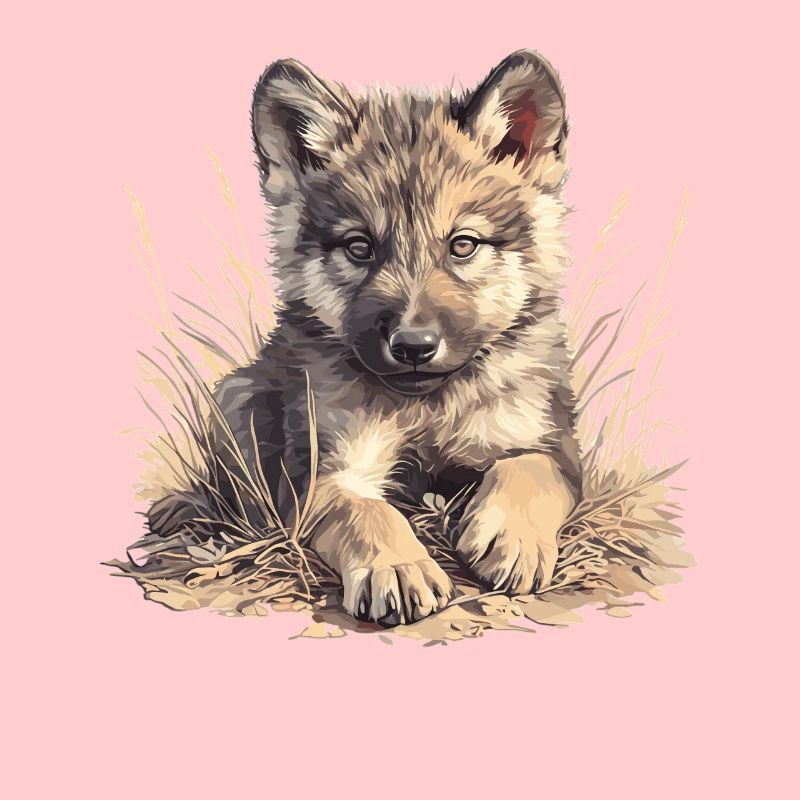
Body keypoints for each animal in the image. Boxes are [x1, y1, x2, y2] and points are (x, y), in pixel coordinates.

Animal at [149, 50, 582, 625]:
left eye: (463, 245)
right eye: (360, 248)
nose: (413, 347)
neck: (426, 408)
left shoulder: (549, 443)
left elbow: (529, 471)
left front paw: (512, 537)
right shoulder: (324, 470)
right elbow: (364, 511)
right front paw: (395, 566)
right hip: (235, 395)